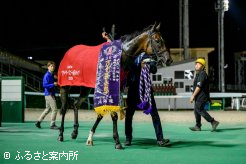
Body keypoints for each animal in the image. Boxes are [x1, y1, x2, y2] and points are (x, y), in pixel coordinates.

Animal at [56, 22, 172, 150]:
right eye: (157, 40)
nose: (168, 60)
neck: (120, 56)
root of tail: (68, 53)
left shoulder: (117, 88)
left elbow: (102, 114)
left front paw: (90, 137)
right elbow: (112, 114)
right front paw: (117, 142)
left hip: (86, 88)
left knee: (76, 104)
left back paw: (74, 132)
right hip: (65, 85)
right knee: (64, 108)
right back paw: (61, 134)